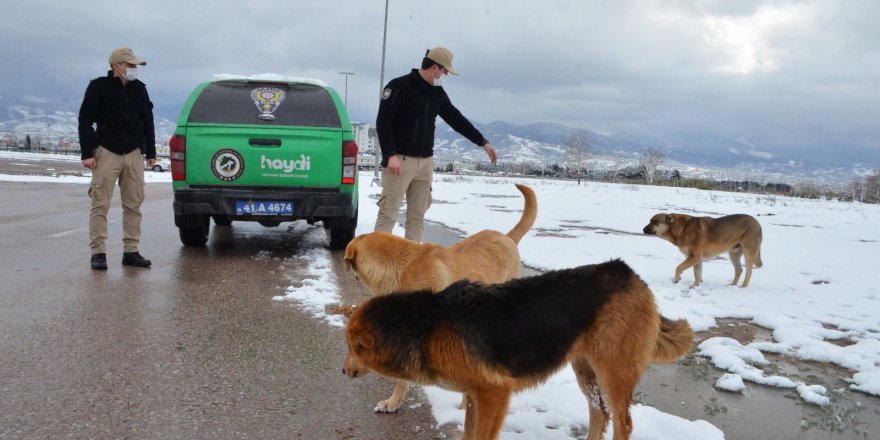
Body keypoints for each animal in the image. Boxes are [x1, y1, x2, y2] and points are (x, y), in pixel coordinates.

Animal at [344, 260, 696, 438]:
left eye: (351, 347)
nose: (344, 371)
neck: (425, 324)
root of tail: (631, 275)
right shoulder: (476, 398)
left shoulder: (494, 396)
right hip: (586, 371)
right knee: (600, 414)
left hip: (613, 374)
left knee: (622, 423)